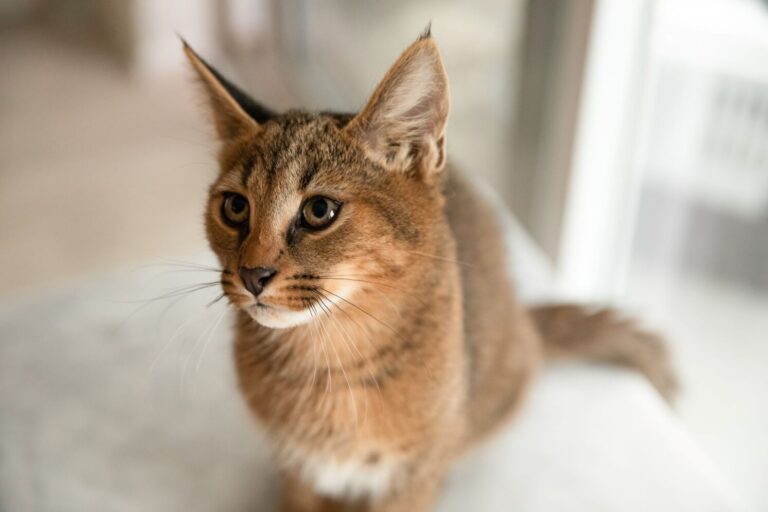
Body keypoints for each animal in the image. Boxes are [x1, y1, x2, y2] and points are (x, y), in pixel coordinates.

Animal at [183, 28, 676, 512]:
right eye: (235, 207)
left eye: (319, 210)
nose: (252, 274)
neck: (328, 364)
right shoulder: (296, 471)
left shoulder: (411, 477)